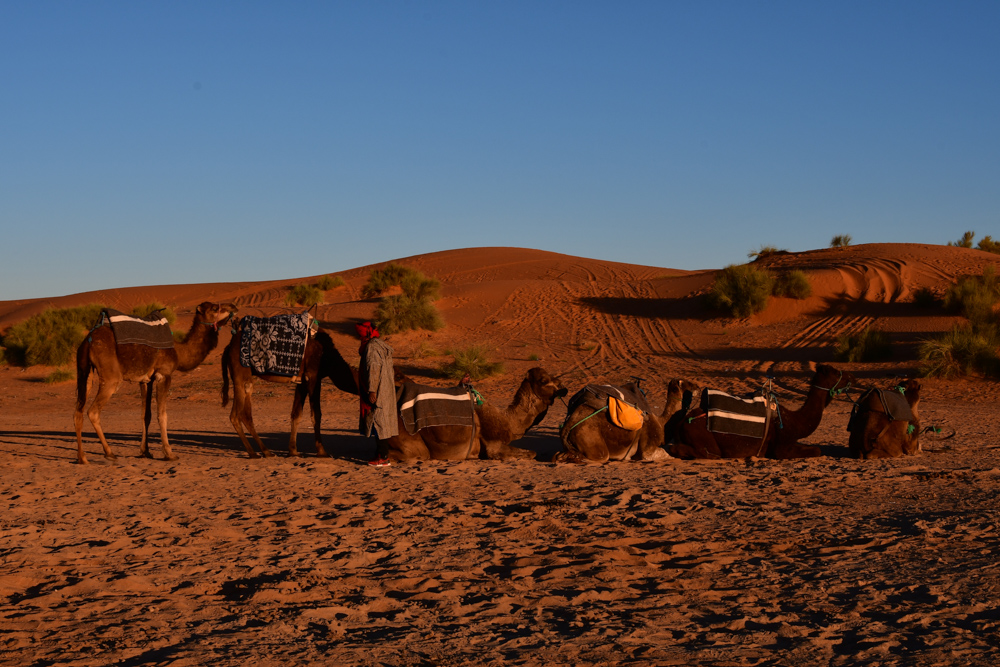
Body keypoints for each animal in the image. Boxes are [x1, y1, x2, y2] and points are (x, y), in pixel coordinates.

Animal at [74, 302, 234, 464]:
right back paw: (109, 452)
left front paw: (145, 452)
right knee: (93, 411)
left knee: (78, 411)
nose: (233, 307)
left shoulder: (146, 380)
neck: (179, 351)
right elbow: (162, 415)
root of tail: (88, 340)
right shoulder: (164, 374)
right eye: (215, 308)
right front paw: (169, 454)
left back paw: (82, 457)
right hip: (111, 377)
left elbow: (146, 415)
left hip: (84, 372)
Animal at [223, 324, 360, 460]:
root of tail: (229, 347)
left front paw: (293, 451)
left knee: (246, 414)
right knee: (235, 415)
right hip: (240, 374)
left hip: (246, 377)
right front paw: (322, 452)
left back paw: (266, 452)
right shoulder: (313, 376)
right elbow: (316, 414)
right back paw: (253, 454)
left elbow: (296, 414)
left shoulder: (302, 382)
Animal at [552, 378, 700, 468]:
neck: (661, 424)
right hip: (590, 437)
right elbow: (666, 455)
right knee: (598, 457)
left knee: (559, 455)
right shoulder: (648, 449)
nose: (699, 387)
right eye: (689, 383)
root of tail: (567, 426)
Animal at [668, 362, 856, 462]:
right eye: (835, 372)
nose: (851, 376)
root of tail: (683, 421)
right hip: (706, 441)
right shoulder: (781, 449)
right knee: (704, 452)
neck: (794, 421)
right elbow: (817, 450)